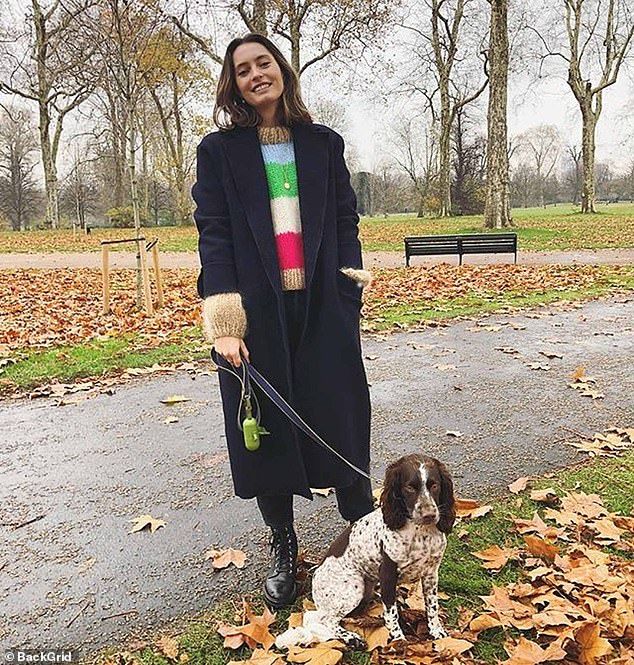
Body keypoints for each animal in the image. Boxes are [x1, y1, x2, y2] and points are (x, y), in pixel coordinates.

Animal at [274, 452, 452, 648]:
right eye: (410, 488)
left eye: (434, 485)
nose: (430, 515)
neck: (421, 533)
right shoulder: (388, 575)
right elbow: (391, 614)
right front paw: (399, 640)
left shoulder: (431, 573)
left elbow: (432, 607)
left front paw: (436, 631)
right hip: (353, 587)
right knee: (325, 620)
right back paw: (351, 638)